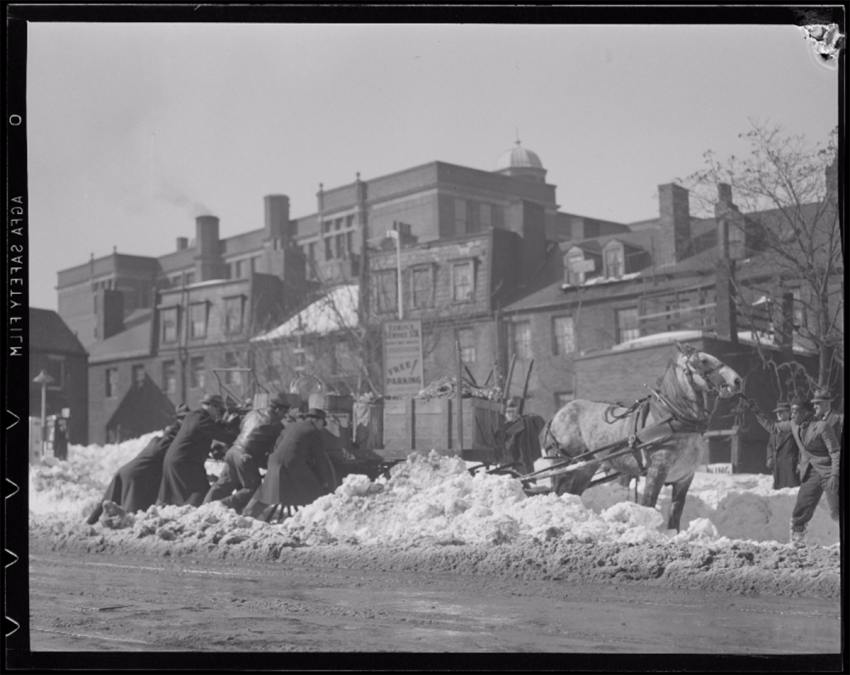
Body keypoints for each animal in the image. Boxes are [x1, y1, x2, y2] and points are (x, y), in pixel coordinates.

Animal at [540, 344, 740, 532]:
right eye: (704, 361)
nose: (737, 380)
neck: (674, 419)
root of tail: (558, 414)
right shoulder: (657, 471)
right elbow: (648, 504)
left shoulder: (685, 477)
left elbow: (675, 513)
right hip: (564, 465)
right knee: (558, 491)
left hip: (587, 466)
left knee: (573, 492)